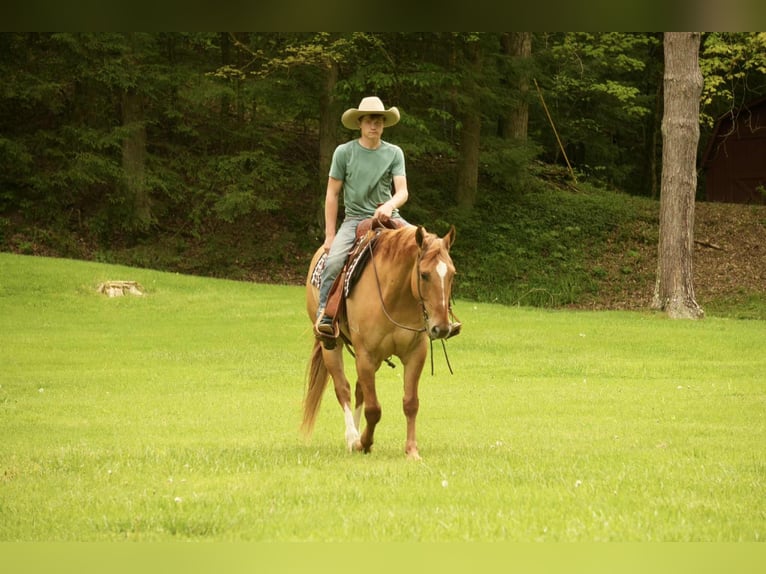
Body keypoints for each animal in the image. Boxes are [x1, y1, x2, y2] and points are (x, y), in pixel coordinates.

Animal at [302, 222, 458, 460]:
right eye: (424, 275)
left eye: (452, 274)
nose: (441, 328)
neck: (396, 297)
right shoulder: (366, 355)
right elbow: (374, 409)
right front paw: (363, 443)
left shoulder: (415, 354)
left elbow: (410, 403)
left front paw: (411, 450)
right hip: (331, 346)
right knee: (343, 388)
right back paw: (352, 438)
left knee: (359, 390)